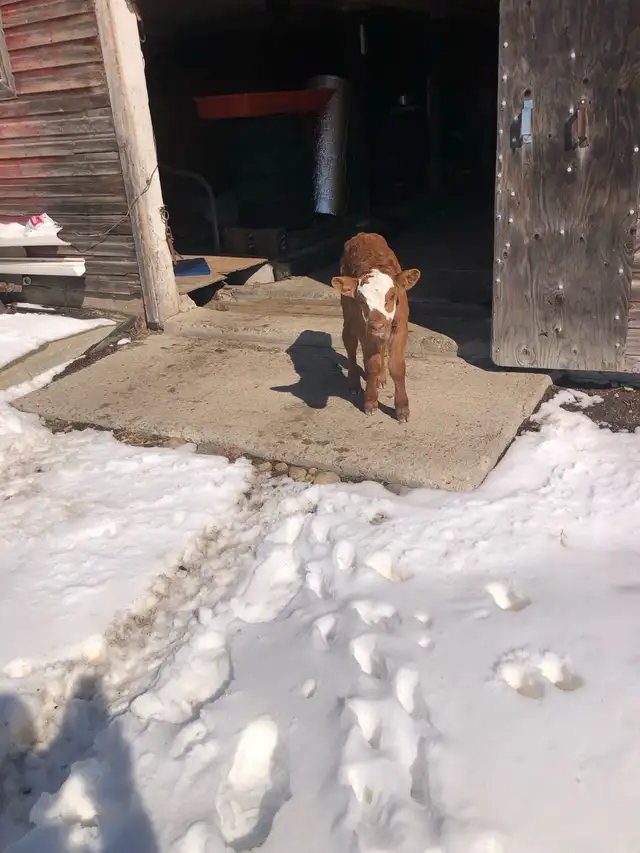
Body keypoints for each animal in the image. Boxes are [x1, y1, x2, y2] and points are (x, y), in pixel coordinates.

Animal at [331, 233, 421, 422]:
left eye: (392, 295)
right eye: (361, 300)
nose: (377, 324)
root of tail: (362, 234)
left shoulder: (400, 327)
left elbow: (396, 367)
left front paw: (402, 408)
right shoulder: (365, 328)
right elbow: (371, 364)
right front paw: (371, 402)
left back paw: (380, 378)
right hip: (349, 317)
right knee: (350, 344)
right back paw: (354, 383)